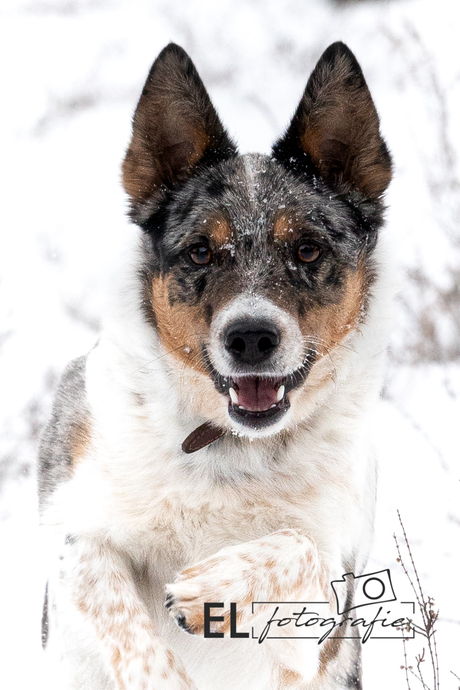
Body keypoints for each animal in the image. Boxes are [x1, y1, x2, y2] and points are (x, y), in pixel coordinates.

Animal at [38, 43, 392, 688]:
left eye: (308, 249)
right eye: (201, 251)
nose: (250, 338)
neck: (227, 446)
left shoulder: (320, 628)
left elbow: (298, 545)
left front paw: (217, 586)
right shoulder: (76, 541)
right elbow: (126, 621)